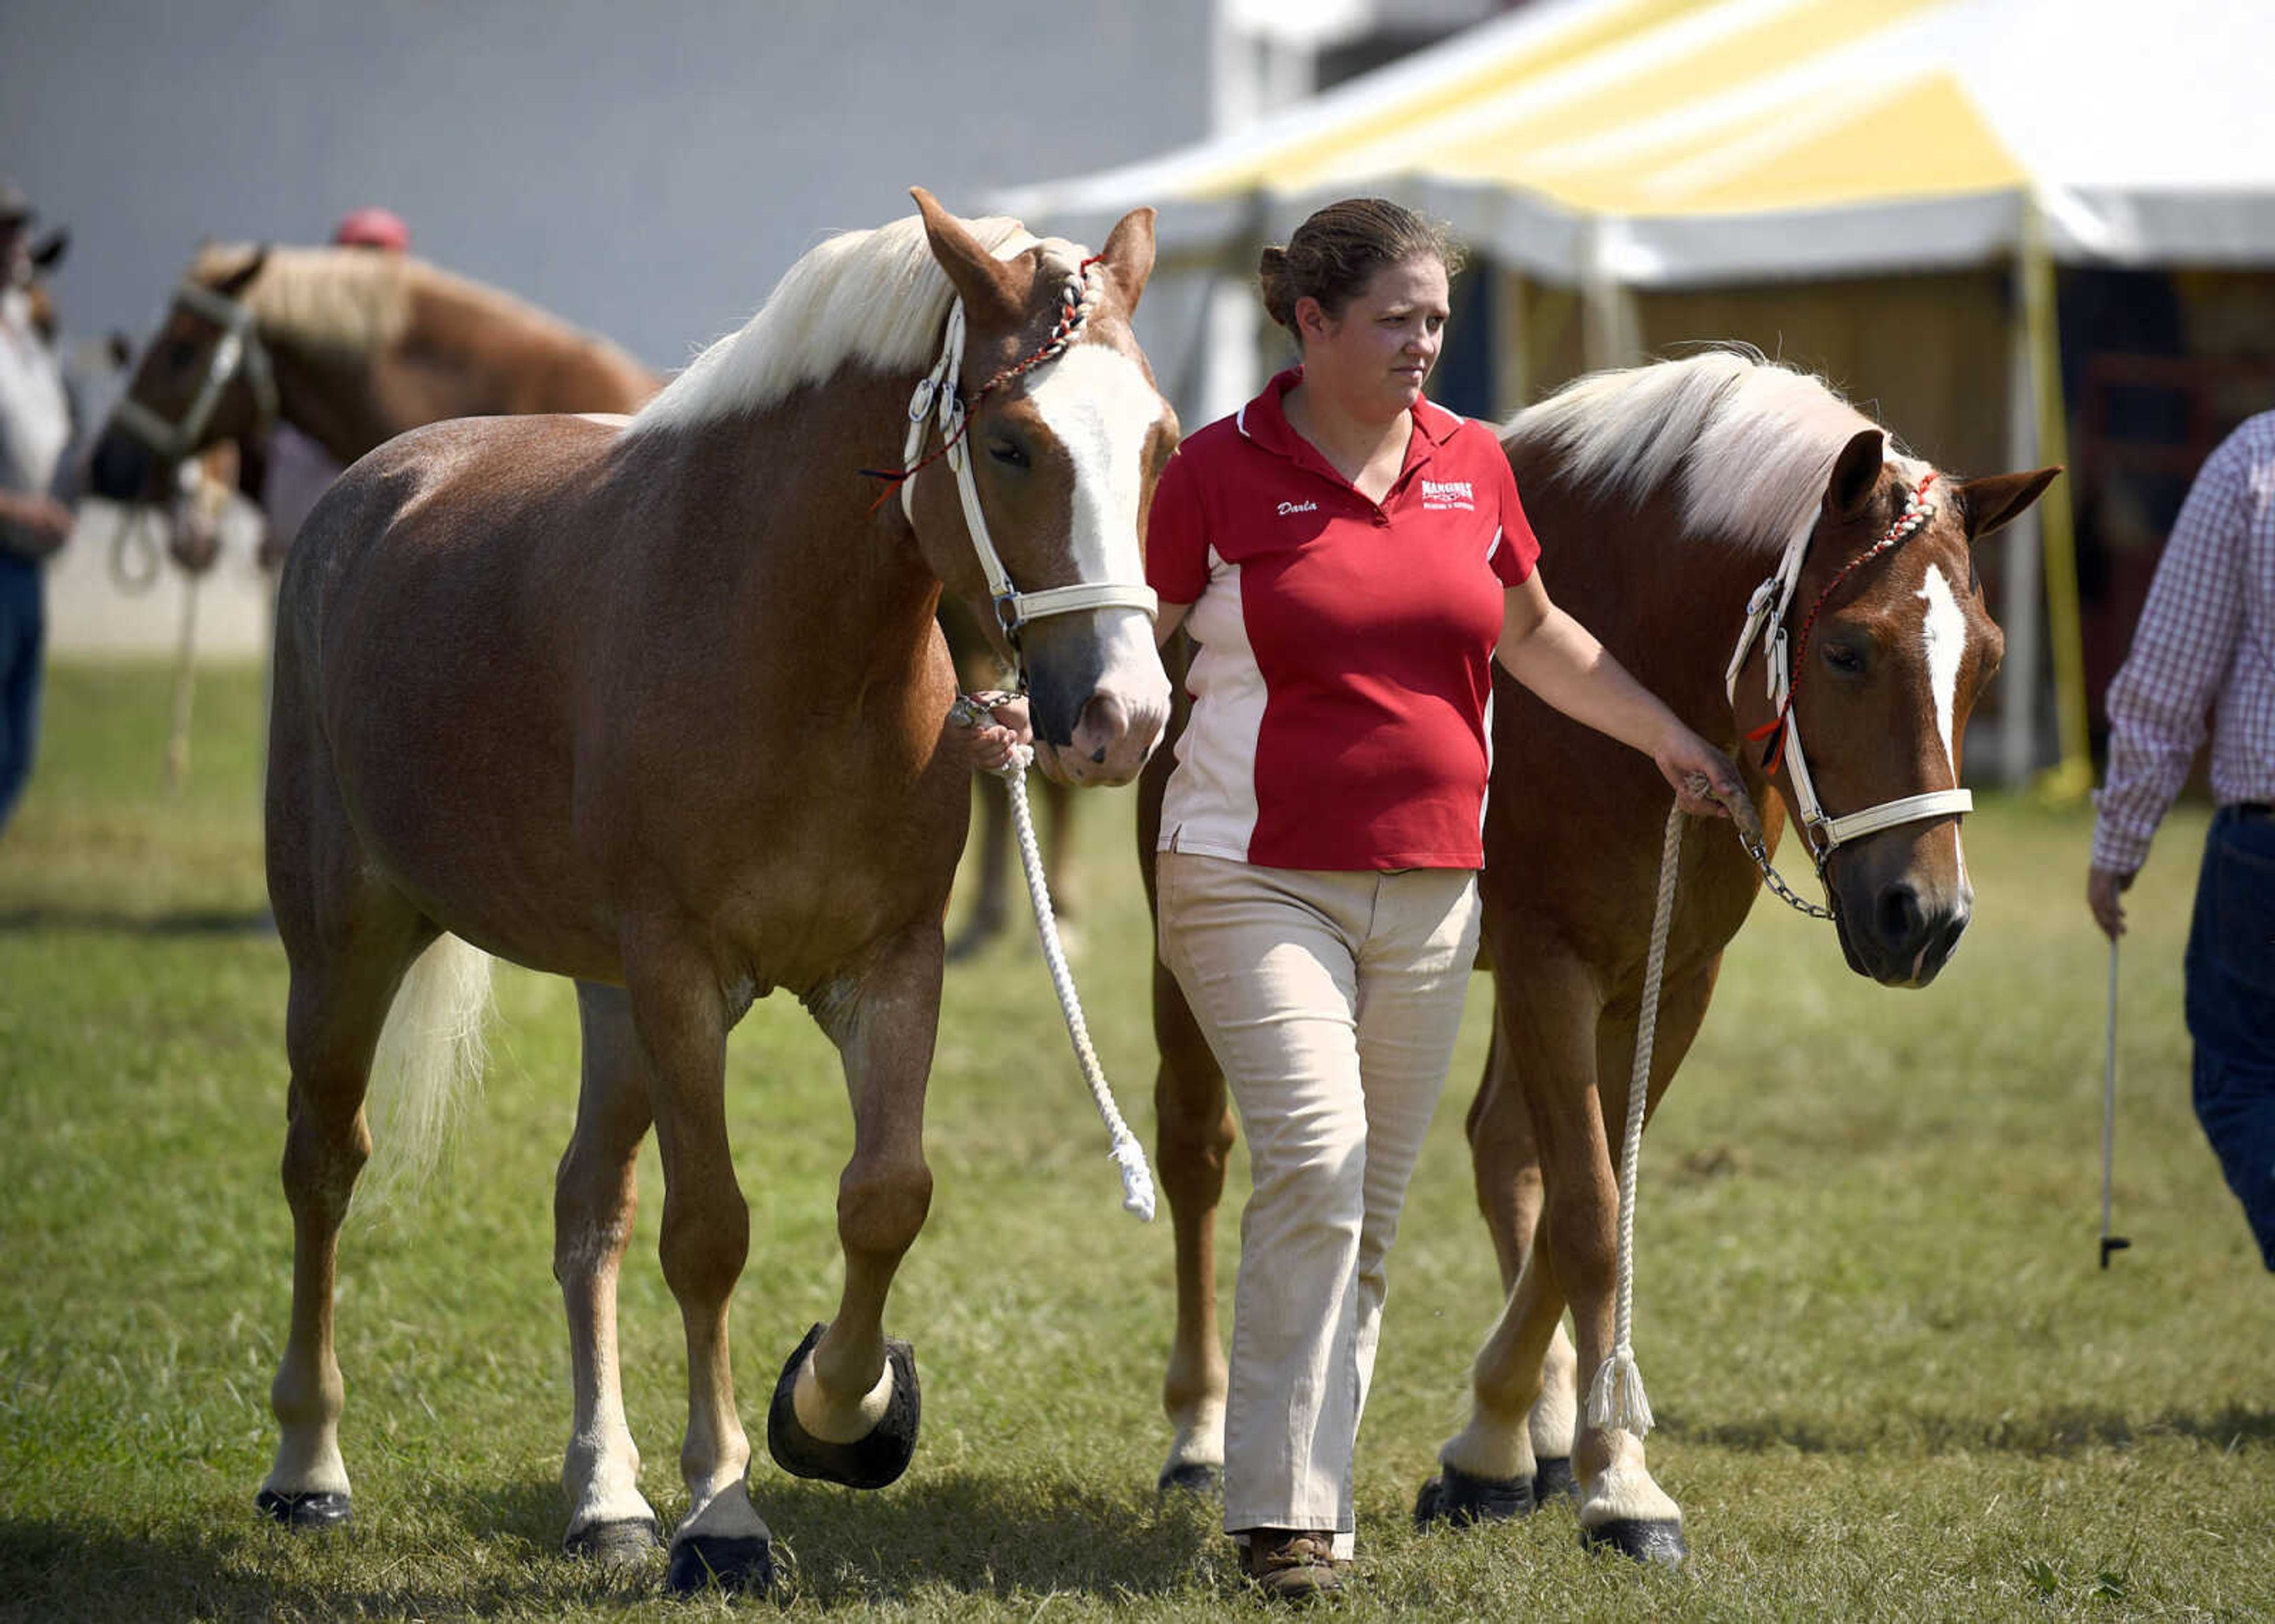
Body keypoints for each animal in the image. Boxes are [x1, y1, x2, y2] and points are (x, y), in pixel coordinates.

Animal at [249, 193, 1174, 1592]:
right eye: (1013, 444)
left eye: (1163, 441)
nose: (1126, 716)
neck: (782, 644)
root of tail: (375, 485)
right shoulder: (683, 975)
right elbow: (710, 1233)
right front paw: (726, 1511)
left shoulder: (890, 964)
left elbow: (885, 1196)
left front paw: (840, 1408)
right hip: (347, 943)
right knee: (325, 1165)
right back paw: (310, 1465)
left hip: (607, 995)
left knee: (586, 1206)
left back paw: (605, 1499)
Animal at [1146, 350, 2056, 1555]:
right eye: (1848, 650)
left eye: (1988, 665)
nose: (1928, 915)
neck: (1634, 666)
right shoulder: (1550, 963)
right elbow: (1586, 1217)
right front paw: (1611, 1481)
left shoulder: (1670, 976)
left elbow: (1592, 1201)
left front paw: (1529, 1442)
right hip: (1190, 946)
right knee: (1197, 1152)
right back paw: (1201, 1433)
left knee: (1500, 1148)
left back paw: (1526, 1435)